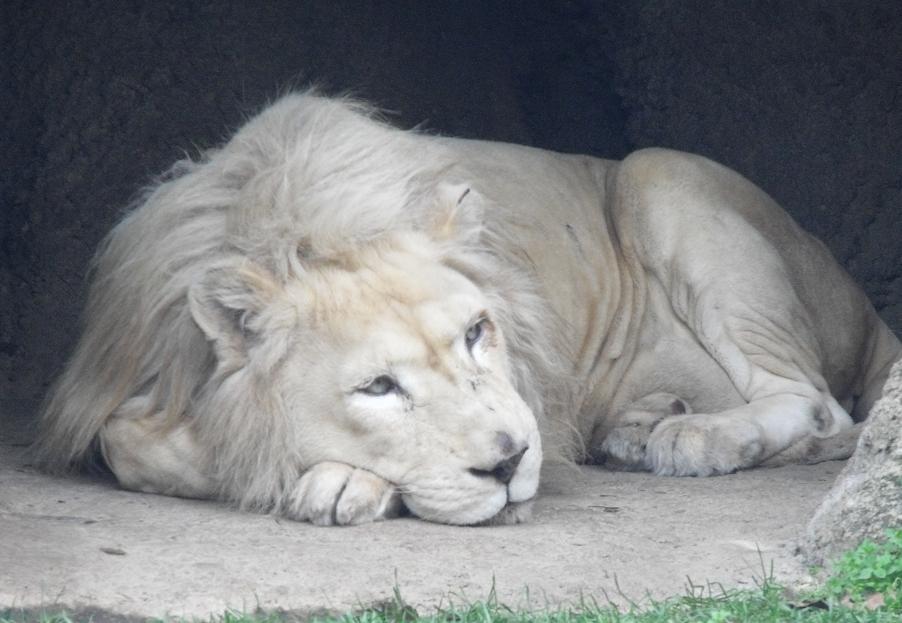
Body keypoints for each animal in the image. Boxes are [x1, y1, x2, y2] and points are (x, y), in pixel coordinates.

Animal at [35, 93, 901, 526]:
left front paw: (341, 484)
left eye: (478, 333)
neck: (307, 231)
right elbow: (129, 444)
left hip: (660, 176)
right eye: (378, 387)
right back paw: (642, 426)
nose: (512, 461)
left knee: (819, 408)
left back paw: (696, 438)